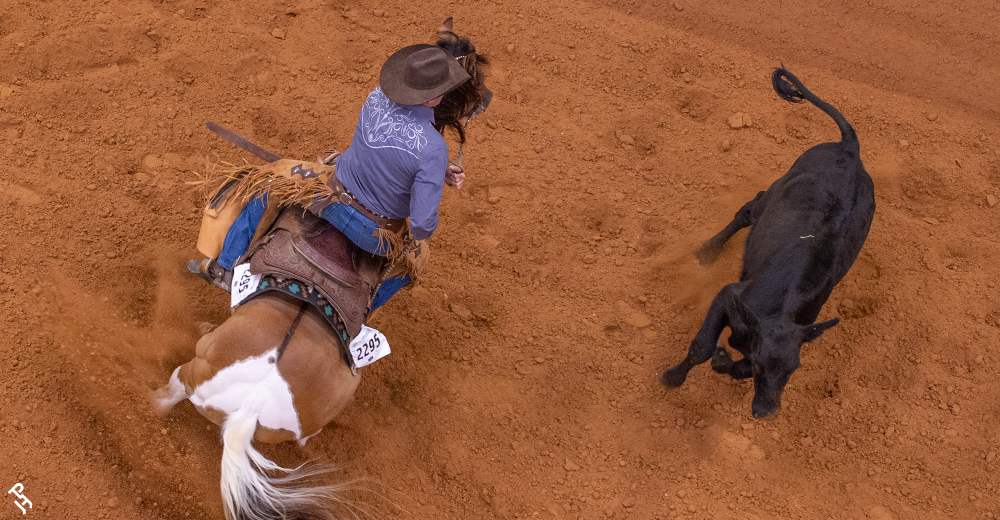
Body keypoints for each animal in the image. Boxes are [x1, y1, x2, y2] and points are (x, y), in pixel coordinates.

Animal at [664, 68, 876, 418]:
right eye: (763, 366)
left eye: (793, 369)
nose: (767, 410)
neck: (780, 308)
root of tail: (850, 149)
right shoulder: (728, 295)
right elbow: (701, 348)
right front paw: (672, 377)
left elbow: (733, 366)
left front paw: (724, 359)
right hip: (774, 191)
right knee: (747, 211)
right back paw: (708, 251)